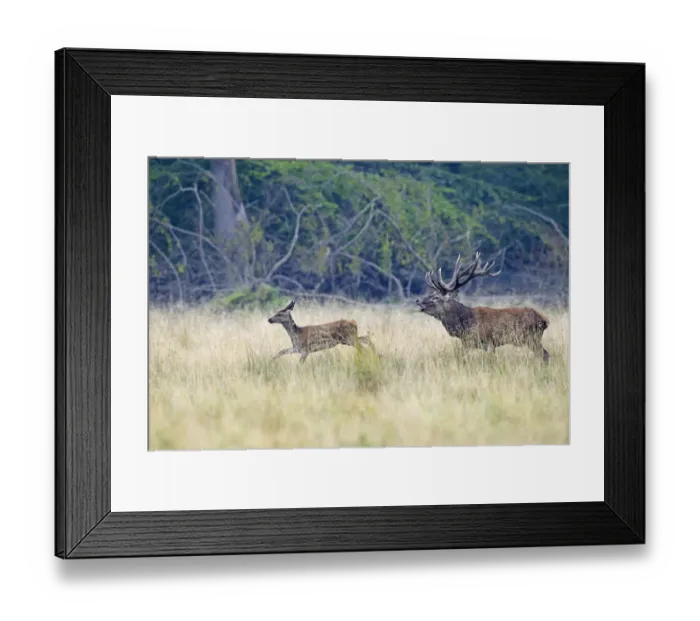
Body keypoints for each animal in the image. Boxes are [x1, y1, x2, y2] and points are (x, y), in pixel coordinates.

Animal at [416, 252, 551, 362]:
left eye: (436, 298)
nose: (418, 300)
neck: (465, 324)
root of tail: (544, 321)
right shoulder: (468, 342)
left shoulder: (487, 343)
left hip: (532, 338)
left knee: (544, 355)